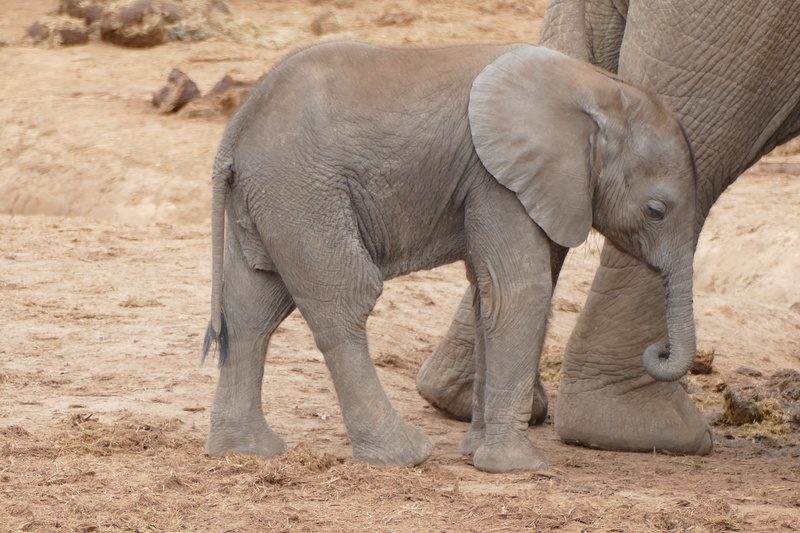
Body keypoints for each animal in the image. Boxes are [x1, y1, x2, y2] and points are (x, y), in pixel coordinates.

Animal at [202, 41, 699, 473]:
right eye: (656, 211)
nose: (658, 350)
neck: (599, 89)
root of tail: (235, 131)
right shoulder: (497, 180)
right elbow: (518, 291)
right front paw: (518, 467)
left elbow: (487, 296)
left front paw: (476, 450)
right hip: (302, 192)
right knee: (343, 301)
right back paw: (404, 455)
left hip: (270, 201)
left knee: (252, 310)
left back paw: (246, 452)